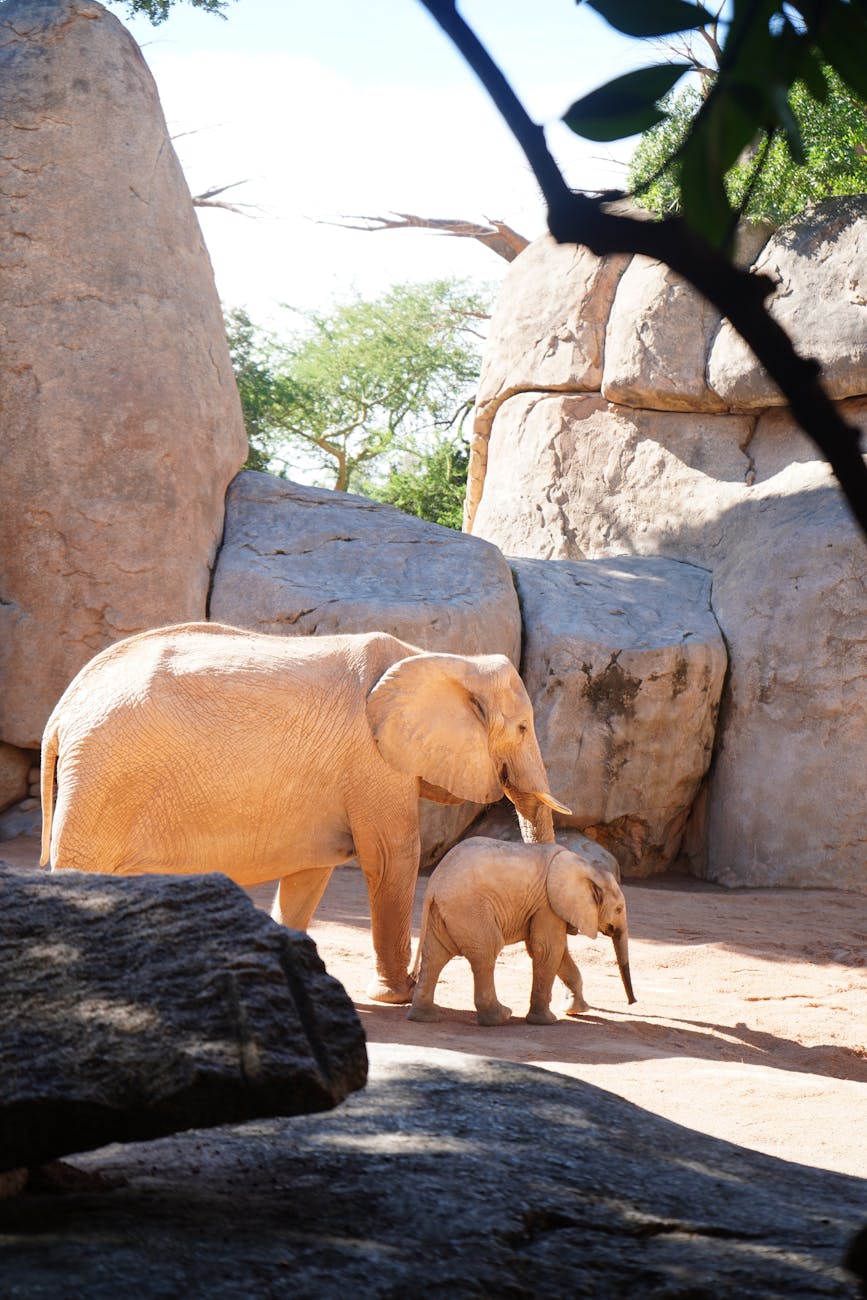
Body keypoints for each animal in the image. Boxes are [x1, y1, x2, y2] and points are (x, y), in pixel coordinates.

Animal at [40, 622, 569, 1004]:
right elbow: (392, 858)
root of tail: (60, 713)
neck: (440, 658)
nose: (569, 1008)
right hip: (101, 777)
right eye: (523, 728)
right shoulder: (373, 760)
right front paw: (397, 996)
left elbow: (310, 874)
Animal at [408, 837, 636, 1026]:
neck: (588, 868)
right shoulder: (547, 904)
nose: (632, 1002)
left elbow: (557, 952)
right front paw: (546, 1021)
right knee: (486, 953)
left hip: (445, 913)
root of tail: (434, 884)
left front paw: (577, 1010)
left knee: (435, 956)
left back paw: (425, 1017)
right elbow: (547, 949)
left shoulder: (548, 907)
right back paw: (500, 1018)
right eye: (619, 909)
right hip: (470, 910)